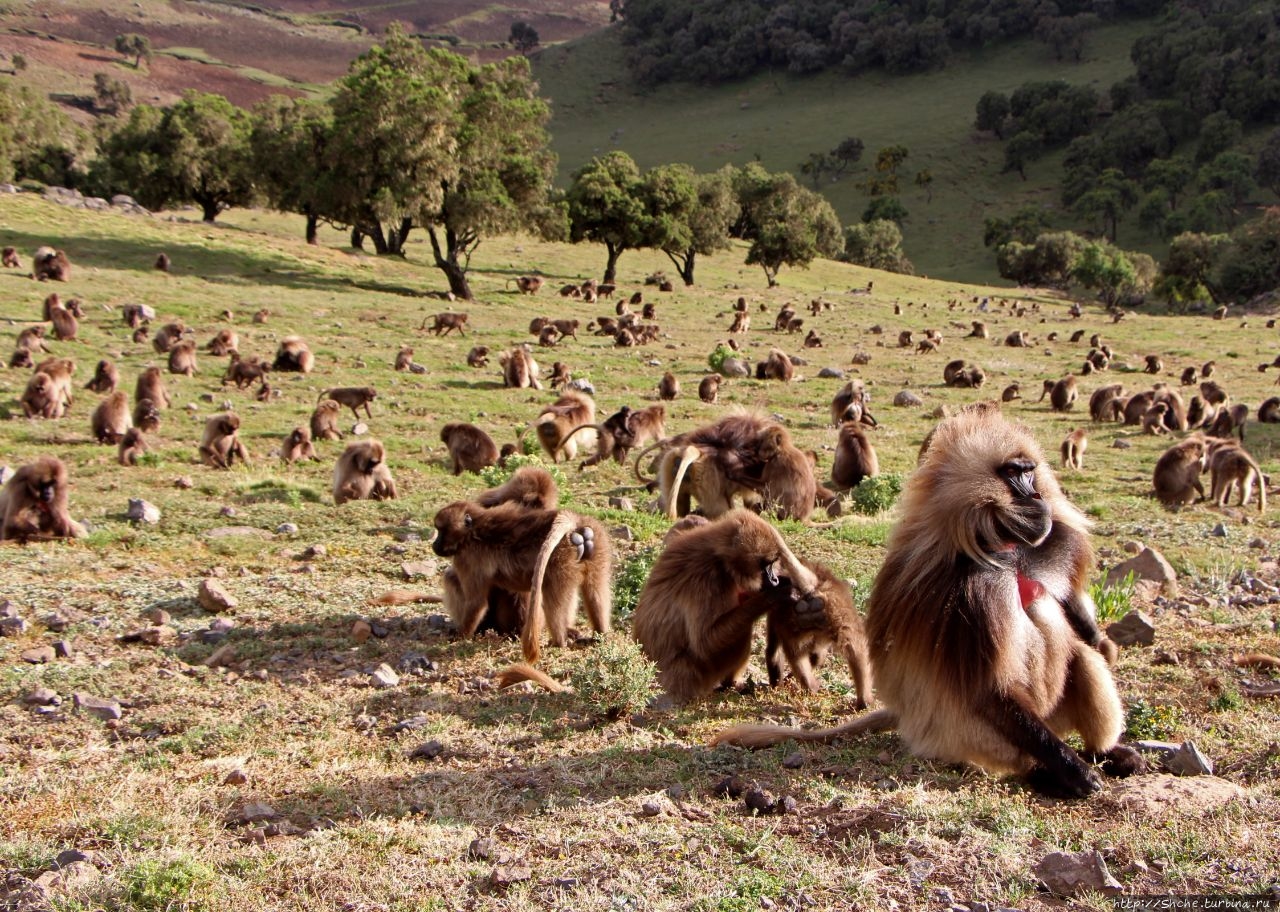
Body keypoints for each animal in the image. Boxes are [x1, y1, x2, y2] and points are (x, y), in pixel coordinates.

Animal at [711, 409, 1141, 799]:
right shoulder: (969, 593)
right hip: (973, 737)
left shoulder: (1048, 552)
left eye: (1030, 472)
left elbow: (1071, 610)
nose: (1037, 497)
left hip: (1051, 716)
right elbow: (988, 688)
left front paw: (1100, 638)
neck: (1007, 554)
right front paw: (1074, 772)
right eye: (1013, 474)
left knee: (1083, 658)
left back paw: (1106, 751)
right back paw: (1046, 773)